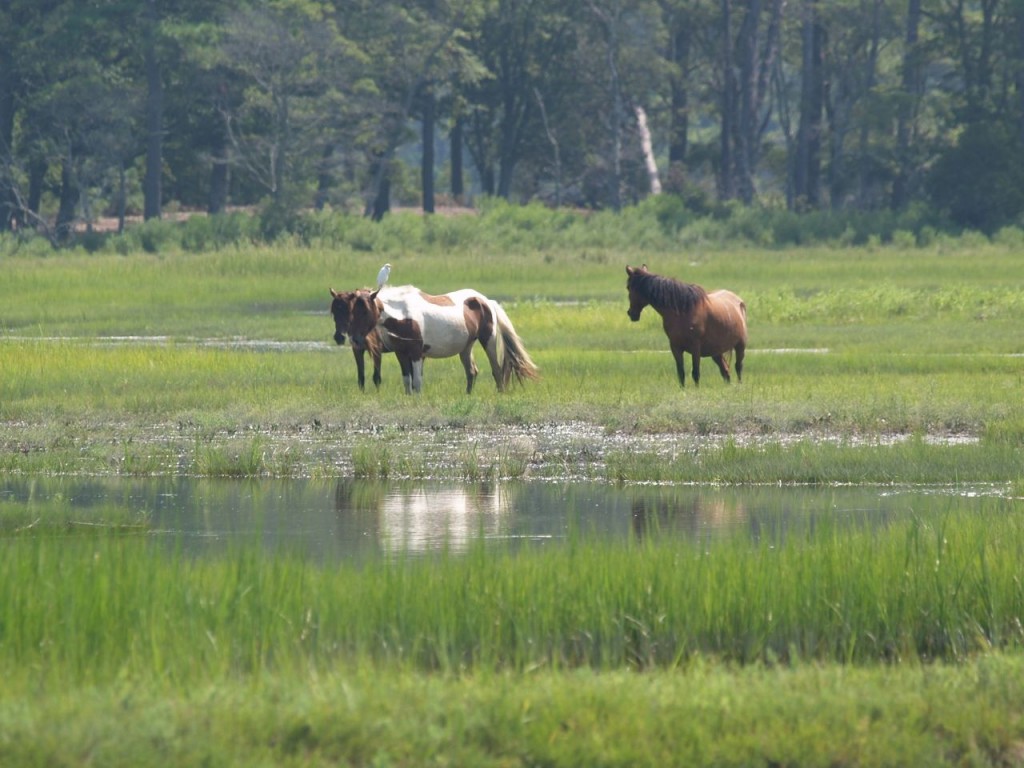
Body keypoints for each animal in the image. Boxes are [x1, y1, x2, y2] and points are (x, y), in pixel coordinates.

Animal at [339, 284, 540, 397]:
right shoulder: (401, 354)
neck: (403, 314)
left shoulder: (416, 353)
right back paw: (467, 396)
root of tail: (486, 301)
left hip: (488, 341)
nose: (356, 339)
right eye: (352, 310)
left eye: (365, 311)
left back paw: (500, 394)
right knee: (471, 372)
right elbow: (407, 380)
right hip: (466, 347)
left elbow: (417, 381)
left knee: (497, 371)